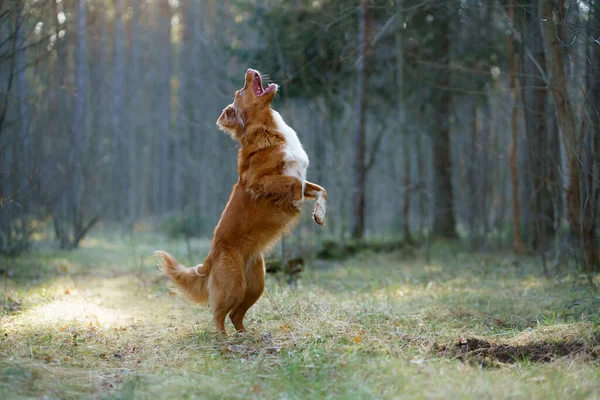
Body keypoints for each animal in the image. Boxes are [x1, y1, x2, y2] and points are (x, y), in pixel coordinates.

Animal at [152, 69, 326, 334]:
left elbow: (320, 190)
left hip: (255, 286)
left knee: (235, 315)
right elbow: (295, 185)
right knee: (217, 314)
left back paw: (245, 335)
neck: (266, 128)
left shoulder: (303, 177)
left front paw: (319, 215)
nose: (250, 71)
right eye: (241, 91)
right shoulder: (260, 182)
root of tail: (211, 257)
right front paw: (295, 205)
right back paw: (225, 340)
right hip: (234, 286)